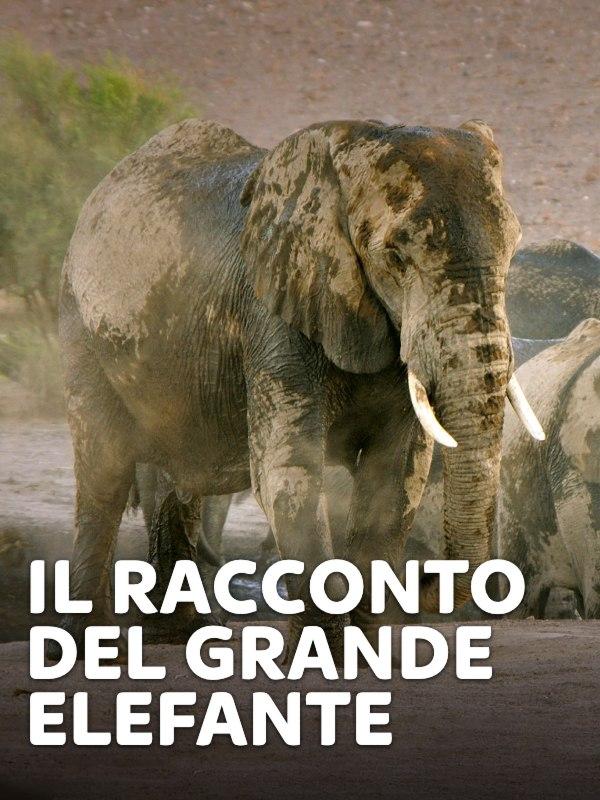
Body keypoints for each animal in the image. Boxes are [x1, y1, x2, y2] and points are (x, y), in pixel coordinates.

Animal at [57, 116, 541, 658]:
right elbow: (290, 471)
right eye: (396, 256)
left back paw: (183, 635)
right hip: (81, 328)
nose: (423, 581)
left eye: (512, 249)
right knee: (103, 472)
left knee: (174, 473)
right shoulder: (271, 310)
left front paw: (371, 656)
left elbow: (395, 477)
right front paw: (321, 657)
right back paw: (87, 648)